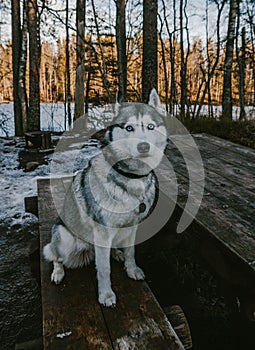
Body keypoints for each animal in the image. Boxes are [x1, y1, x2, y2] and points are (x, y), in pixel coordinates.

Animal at [43, 89, 167, 306]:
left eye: (151, 126)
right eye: (129, 128)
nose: (144, 147)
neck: (131, 178)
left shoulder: (132, 227)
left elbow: (131, 252)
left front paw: (131, 269)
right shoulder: (102, 233)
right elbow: (103, 269)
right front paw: (106, 294)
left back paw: (116, 253)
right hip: (64, 238)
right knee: (56, 256)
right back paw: (58, 273)